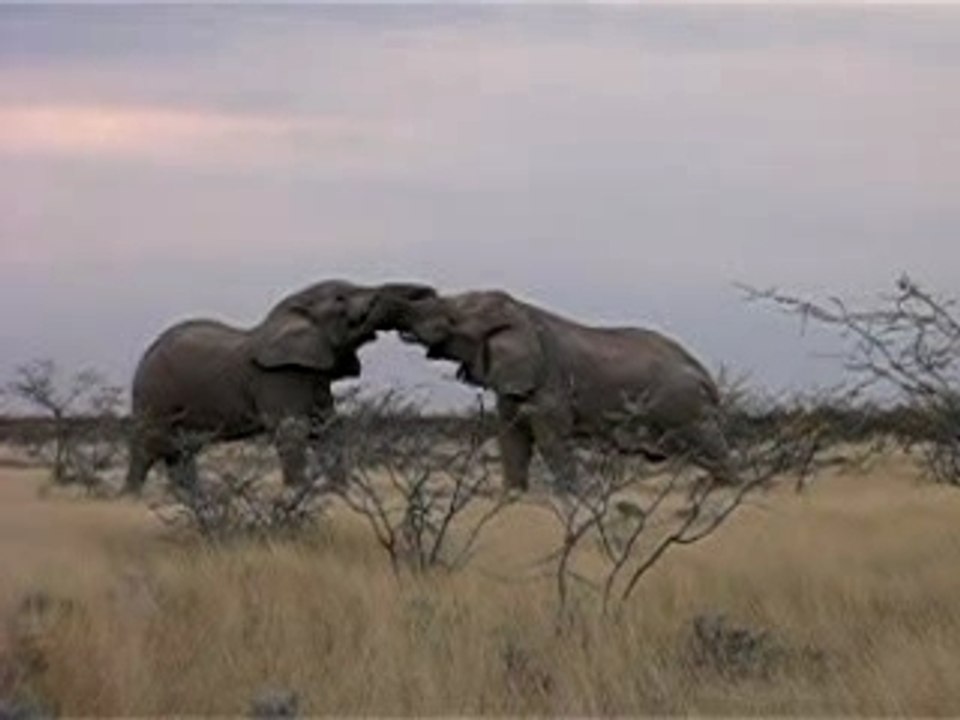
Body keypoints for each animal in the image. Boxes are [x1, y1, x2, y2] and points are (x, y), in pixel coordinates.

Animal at [124, 280, 436, 494]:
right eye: (341, 298)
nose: (431, 294)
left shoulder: (315, 375)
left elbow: (329, 429)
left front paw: (340, 495)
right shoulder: (278, 376)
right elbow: (291, 430)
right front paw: (298, 493)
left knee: (182, 453)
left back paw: (194, 500)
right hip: (153, 395)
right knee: (149, 448)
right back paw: (132, 499)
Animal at [393, 290, 734, 493]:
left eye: (451, 319)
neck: (522, 312)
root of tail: (705, 374)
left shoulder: (549, 386)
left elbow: (551, 442)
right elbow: (512, 443)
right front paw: (512, 499)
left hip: (683, 406)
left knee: (712, 449)